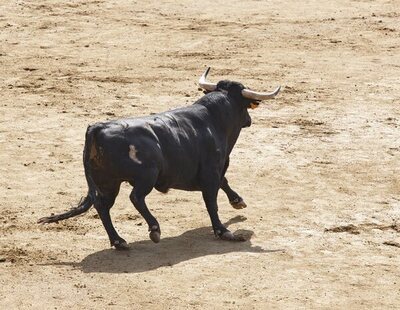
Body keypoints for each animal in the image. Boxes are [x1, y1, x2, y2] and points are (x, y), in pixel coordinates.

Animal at [39, 71, 280, 249]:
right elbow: (212, 201)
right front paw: (223, 231)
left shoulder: (215, 170)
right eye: (245, 105)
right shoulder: (211, 171)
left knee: (102, 205)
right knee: (135, 197)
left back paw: (119, 241)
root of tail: (97, 128)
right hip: (146, 176)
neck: (213, 119)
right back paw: (154, 229)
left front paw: (238, 201)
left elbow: (225, 182)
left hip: (108, 182)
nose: (249, 120)